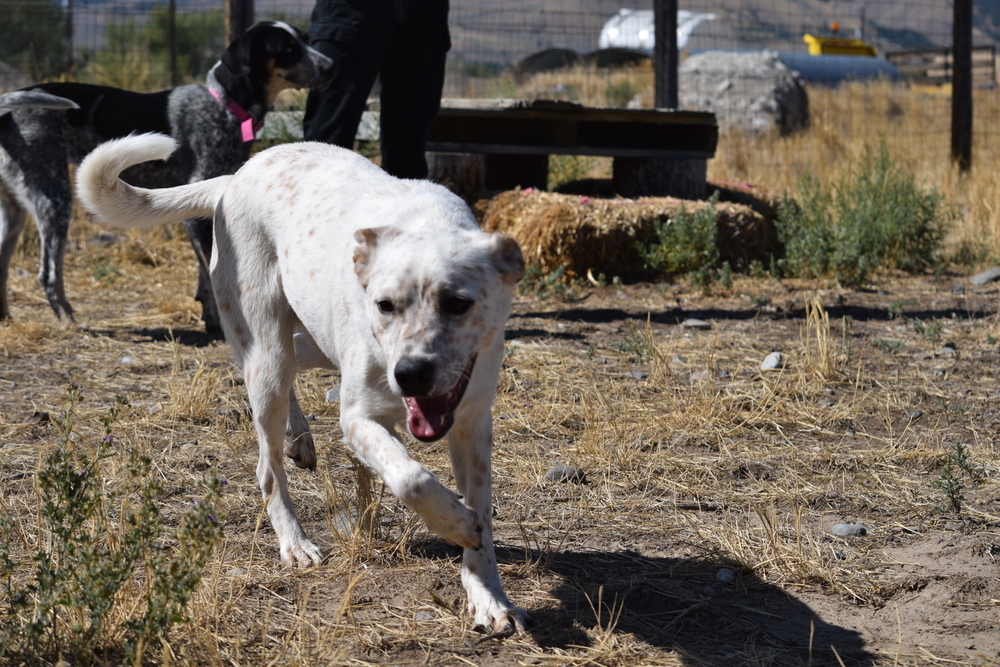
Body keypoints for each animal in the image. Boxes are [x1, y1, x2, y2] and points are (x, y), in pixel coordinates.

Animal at [0, 20, 336, 334]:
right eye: (288, 48)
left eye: (305, 39)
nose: (331, 66)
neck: (225, 105)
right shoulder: (197, 213)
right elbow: (210, 272)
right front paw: (218, 322)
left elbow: (204, 276)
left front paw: (209, 317)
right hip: (54, 198)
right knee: (48, 273)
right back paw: (67, 319)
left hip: (15, 210)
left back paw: (6, 317)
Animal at [76, 133, 532, 636]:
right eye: (385, 305)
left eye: (457, 303)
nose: (408, 374)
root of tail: (234, 178)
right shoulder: (357, 417)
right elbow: (412, 478)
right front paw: (454, 523)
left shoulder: (473, 425)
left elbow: (480, 510)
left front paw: (488, 597)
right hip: (268, 355)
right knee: (267, 465)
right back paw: (294, 541)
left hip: (304, 341)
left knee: (294, 366)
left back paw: (299, 436)